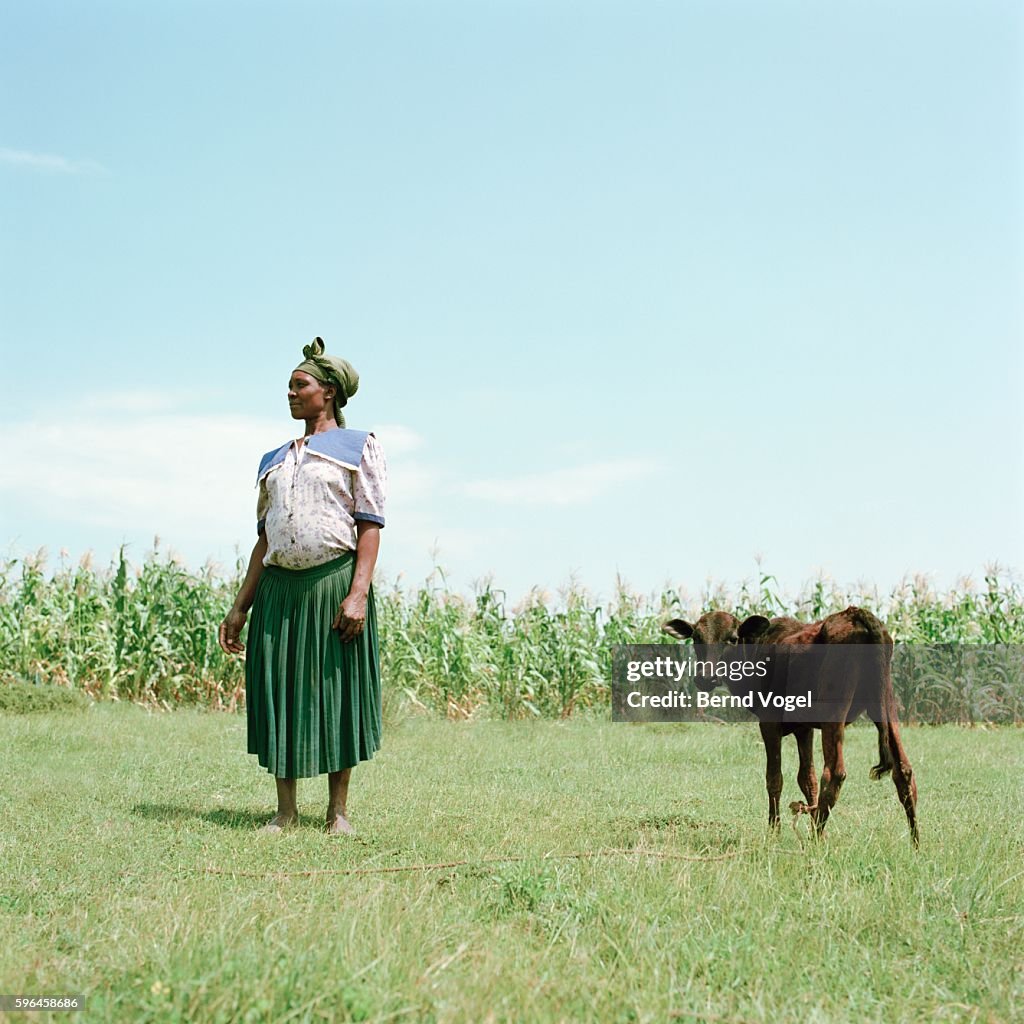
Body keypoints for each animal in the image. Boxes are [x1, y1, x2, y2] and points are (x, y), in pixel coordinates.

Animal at [663, 606, 921, 847]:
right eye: (696, 637)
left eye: (733, 638)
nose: (706, 678)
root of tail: (856, 614)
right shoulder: (803, 727)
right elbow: (807, 779)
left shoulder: (769, 721)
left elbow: (774, 778)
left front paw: (774, 832)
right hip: (885, 702)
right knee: (903, 771)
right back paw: (915, 843)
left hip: (834, 711)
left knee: (834, 774)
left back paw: (815, 839)